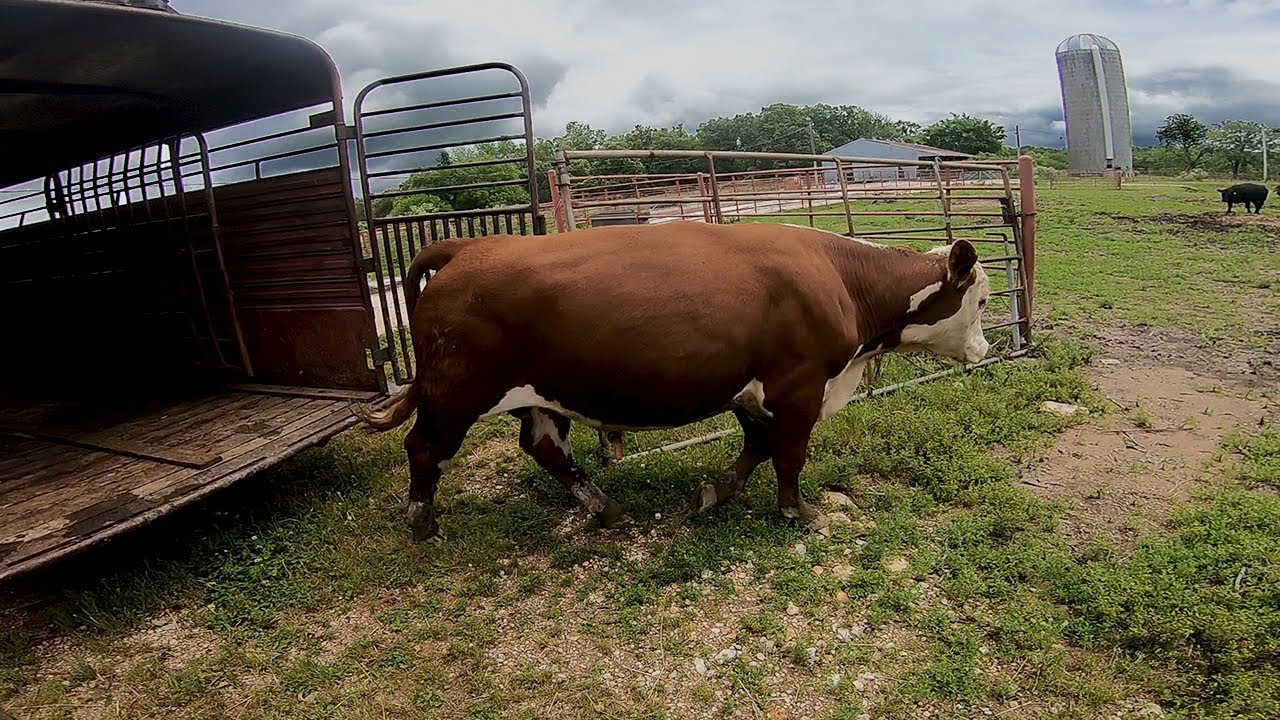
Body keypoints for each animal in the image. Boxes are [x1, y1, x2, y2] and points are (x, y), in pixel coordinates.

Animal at [352, 221, 992, 543]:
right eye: (983, 301)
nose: (987, 350)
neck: (840, 278)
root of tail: (470, 247)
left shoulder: (749, 389)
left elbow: (757, 447)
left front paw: (715, 492)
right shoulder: (799, 385)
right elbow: (789, 454)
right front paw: (798, 513)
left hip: (536, 395)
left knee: (545, 448)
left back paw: (607, 509)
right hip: (455, 393)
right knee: (423, 447)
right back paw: (422, 522)